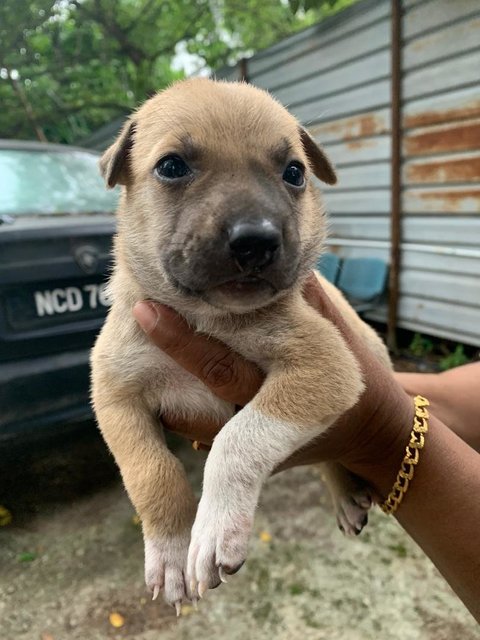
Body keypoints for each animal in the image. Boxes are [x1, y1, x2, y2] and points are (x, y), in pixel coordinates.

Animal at [90, 79, 390, 608]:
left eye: (294, 172)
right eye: (171, 166)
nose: (255, 240)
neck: (207, 317)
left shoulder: (326, 364)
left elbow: (237, 440)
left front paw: (212, 534)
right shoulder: (114, 393)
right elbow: (152, 472)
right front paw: (170, 552)